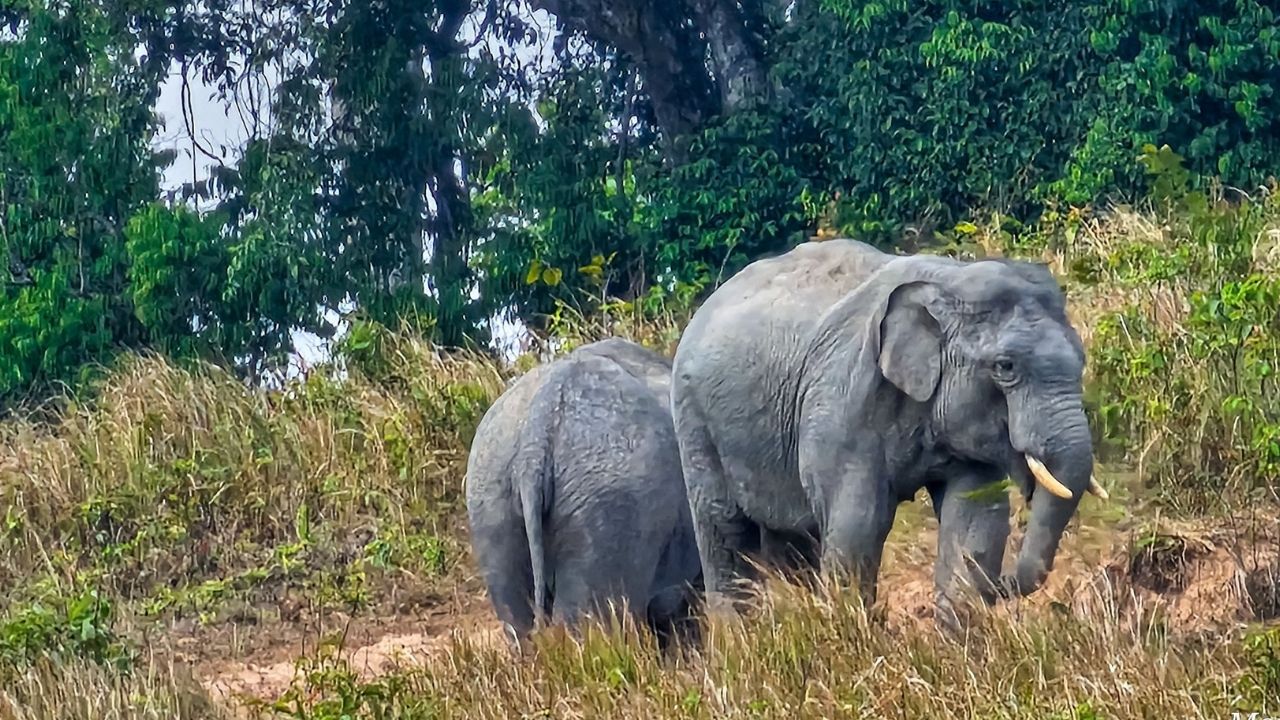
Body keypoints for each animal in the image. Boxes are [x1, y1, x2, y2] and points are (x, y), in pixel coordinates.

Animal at [669, 238, 1106, 621]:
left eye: (1082, 360)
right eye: (1005, 367)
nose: (1002, 585)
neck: (948, 281)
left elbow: (974, 516)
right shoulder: (843, 398)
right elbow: (859, 524)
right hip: (694, 419)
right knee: (725, 528)